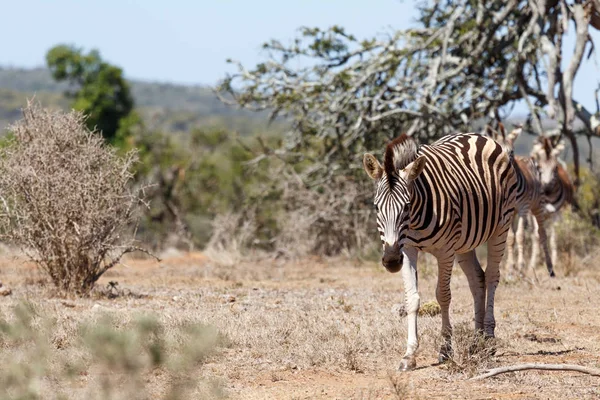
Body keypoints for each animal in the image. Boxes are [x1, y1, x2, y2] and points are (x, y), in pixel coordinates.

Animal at [364, 133, 516, 370]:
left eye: (406, 206)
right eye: (376, 207)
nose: (391, 261)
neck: (415, 220)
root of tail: (476, 136)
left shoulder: (445, 251)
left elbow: (443, 296)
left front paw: (445, 349)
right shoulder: (407, 249)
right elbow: (412, 298)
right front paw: (409, 354)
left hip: (501, 227)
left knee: (492, 276)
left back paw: (489, 340)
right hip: (465, 242)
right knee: (478, 280)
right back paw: (477, 341)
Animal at [482, 125, 552, 278]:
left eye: (512, 151)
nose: (502, 169)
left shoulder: (523, 209)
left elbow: (520, 236)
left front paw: (520, 268)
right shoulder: (506, 211)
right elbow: (510, 239)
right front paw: (510, 269)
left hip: (538, 205)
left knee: (542, 233)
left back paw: (550, 269)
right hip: (513, 213)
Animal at [528, 136, 576, 270]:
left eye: (555, 168)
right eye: (539, 167)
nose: (547, 190)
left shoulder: (556, 214)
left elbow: (554, 238)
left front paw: (554, 262)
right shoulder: (535, 213)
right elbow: (537, 236)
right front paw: (533, 264)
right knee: (534, 235)